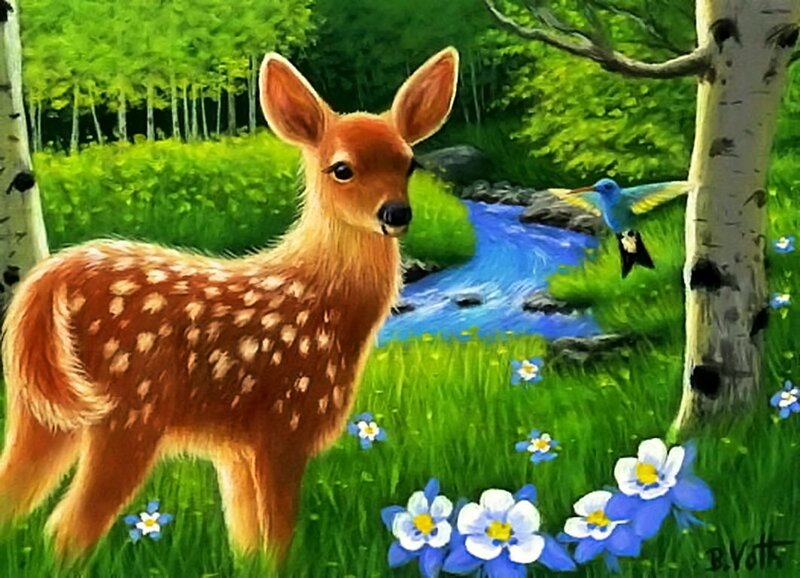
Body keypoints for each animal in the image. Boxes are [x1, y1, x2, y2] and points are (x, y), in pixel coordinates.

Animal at [0, 47, 459, 561]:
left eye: (409, 163)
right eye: (342, 168)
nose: (396, 213)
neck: (325, 301)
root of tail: (51, 278)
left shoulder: (236, 450)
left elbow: (246, 541)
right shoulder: (283, 426)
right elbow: (278, 543)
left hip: (41, 406)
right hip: (128, 409)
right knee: (67, 528)